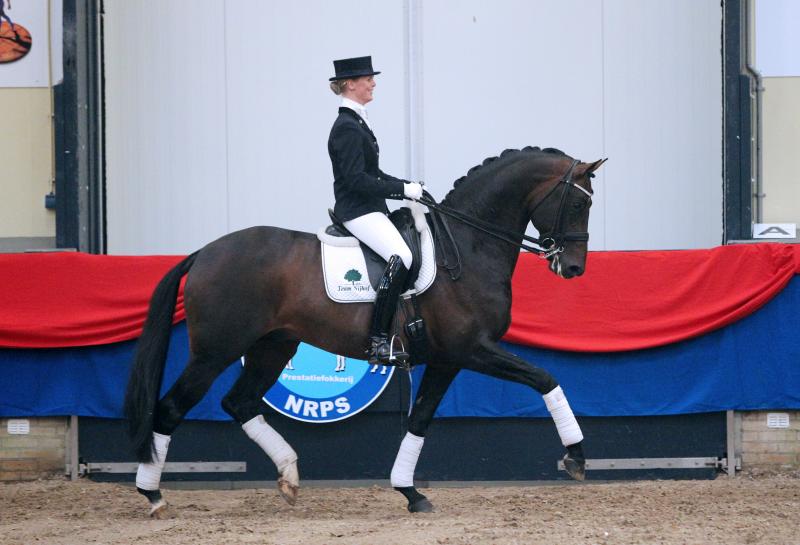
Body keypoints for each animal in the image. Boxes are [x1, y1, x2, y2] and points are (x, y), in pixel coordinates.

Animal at [125, 144, 604, 516]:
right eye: (579, 204)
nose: (574, 269)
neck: (467, 247)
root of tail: (204, 252)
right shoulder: (473, 349)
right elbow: (545, 379)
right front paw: (576, 457)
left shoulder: (448, 359)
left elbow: (420, 418)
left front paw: (410, 493)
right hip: (215, 351)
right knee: (171, 407)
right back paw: (153, 496)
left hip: (272, 347)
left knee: (238, 402)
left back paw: (289, 476)